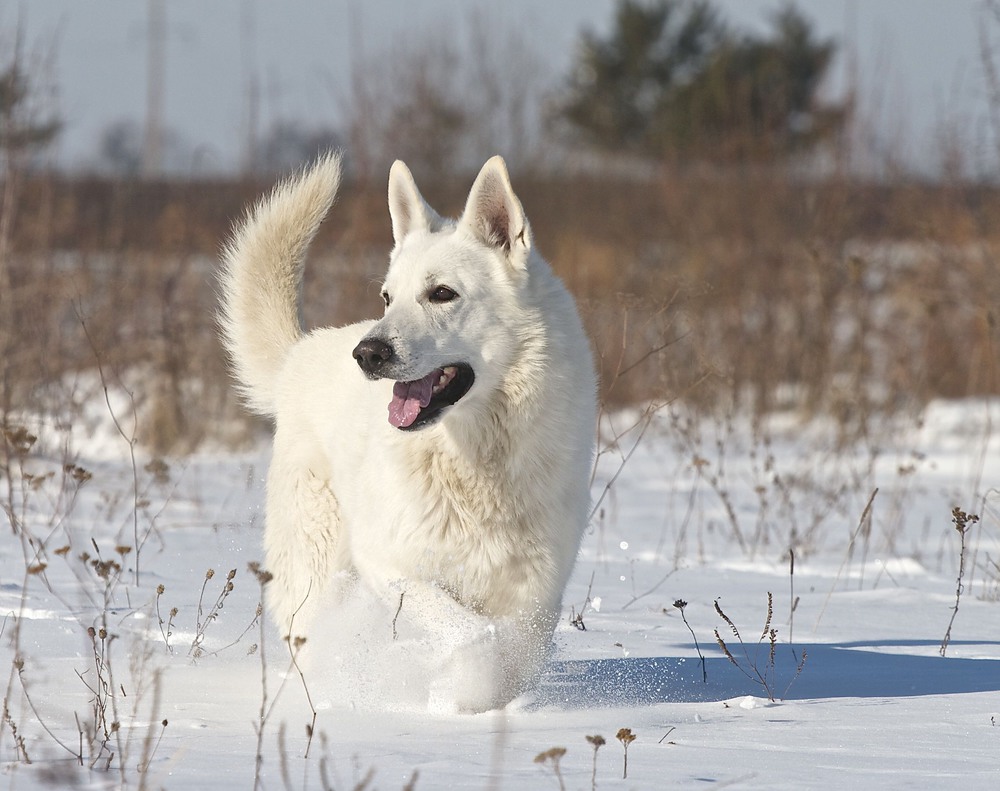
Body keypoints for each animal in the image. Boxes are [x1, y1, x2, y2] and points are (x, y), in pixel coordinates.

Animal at [219, 155, 592, 712]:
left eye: (442, 294)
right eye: (387, 297)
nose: (368, 354)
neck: (475, 457)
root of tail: (301, 352)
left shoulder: (537, 590)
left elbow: (516, 649)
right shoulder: (392, 564)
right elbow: (475, 636)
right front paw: (462, 692)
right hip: (319, 568)